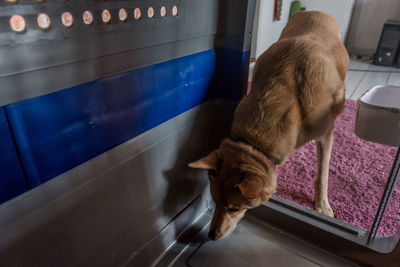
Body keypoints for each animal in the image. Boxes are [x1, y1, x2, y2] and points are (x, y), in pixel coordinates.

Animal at [189, 11, 348, 242]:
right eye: (215, 201)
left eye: (235, 209)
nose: (211, 235)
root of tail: (317, 12)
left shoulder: (327, 133)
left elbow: (323, 172)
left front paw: (322, 204)